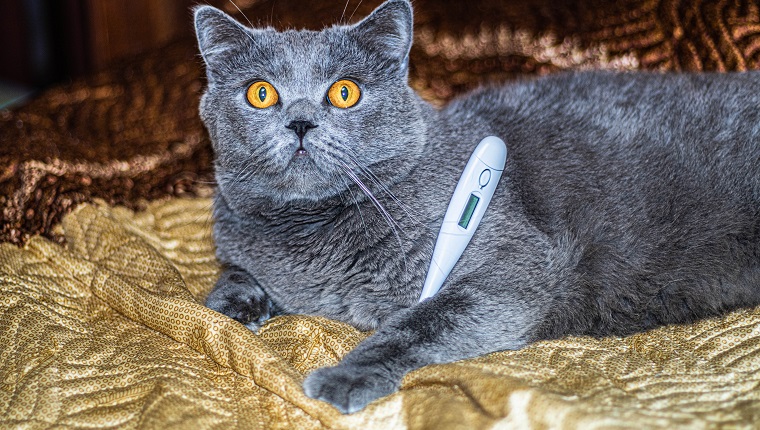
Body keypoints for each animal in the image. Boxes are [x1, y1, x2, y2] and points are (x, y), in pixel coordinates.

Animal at [194, 0, 760, 414]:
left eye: (345, 92)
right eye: (261, 93)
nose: (300, 122)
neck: (310, 231)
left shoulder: (515, 263)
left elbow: (421, 320)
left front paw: (344, 376)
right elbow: (233, 271)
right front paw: (229, 305)